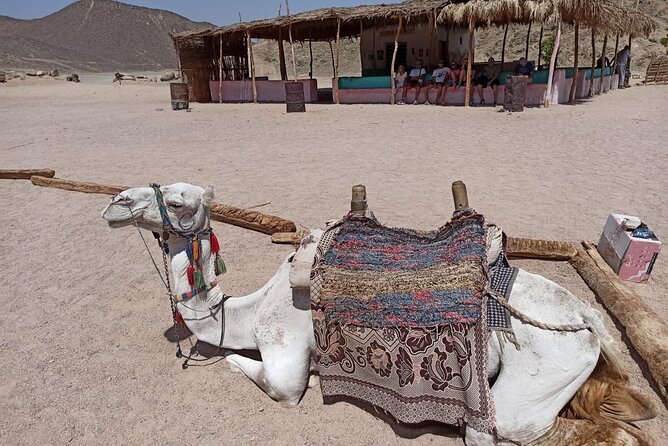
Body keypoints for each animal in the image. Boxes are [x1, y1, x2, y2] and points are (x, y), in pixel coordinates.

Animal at [102, 183, 657, 446]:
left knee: (515, 427)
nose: (115, 202)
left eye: (177, 201)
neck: (248, 308)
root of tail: (588, 319)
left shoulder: (284, 355)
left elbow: (266, 377)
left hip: (539, 370)